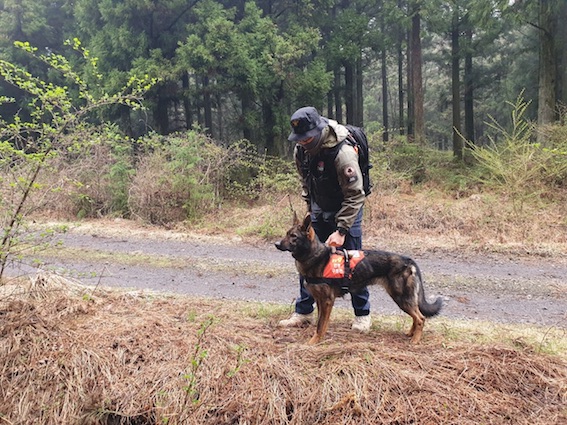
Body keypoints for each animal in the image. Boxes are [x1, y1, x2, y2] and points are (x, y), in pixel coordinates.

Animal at [276, 212, 444, 344]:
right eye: (286, 233)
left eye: (293, 236)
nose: (276, 244)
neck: (316, 256)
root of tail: (409, 260)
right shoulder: (319, 300)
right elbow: (320, 322)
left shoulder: (327, 301)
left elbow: (320, 324)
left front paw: (314, 341)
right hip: (404, 299)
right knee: (417, 316)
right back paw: (410, 333)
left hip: (401, 298)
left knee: (421, 318)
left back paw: (415, 340)